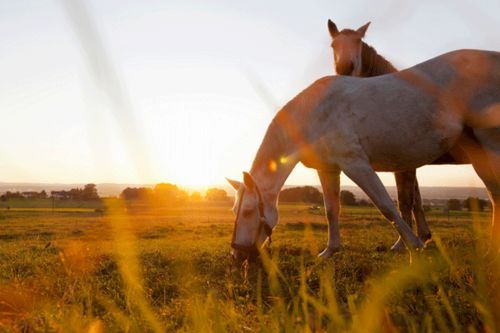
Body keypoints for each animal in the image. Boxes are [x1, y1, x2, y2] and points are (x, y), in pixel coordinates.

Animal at [229, 50, 500, 262]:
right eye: (235, 210)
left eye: (249, 212)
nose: (237, 254)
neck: (314, 114)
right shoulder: (328, 169)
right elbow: (331, 210)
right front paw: (329, 252)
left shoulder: (356, 164)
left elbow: (386, 206)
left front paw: (414, 247)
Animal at [326, 19, 432, 250]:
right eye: (333, 45)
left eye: (358, 42)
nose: (345, 68)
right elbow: (415, 197)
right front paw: (422, 236)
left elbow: (406, 199)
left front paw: (403, 244)